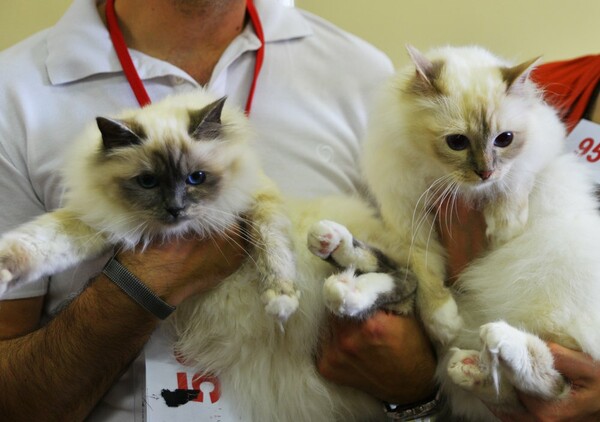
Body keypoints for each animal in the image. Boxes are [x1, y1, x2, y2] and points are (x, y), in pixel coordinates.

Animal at [0, 90, 418, 420]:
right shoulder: (100, 221)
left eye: (196, 178)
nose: (175, 209)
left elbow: (272, 250)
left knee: (401, 281)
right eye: (148, 182)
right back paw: (338, 264)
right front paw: (6, 270)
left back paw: (344, 278)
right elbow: (42, 242)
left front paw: (280, 300)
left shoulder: (256, 205)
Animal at [360, 44, 600, 420]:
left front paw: (504, 228)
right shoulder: (407, 215)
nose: (485, 172)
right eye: (457, 142)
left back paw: (500, 341)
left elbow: (514, 181)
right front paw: (443, 322)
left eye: (505, 139)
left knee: (552, 384)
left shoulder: (539, 151)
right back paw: (472, 364)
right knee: (524, 390)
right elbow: (428, 274)